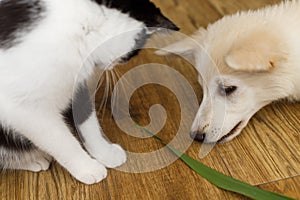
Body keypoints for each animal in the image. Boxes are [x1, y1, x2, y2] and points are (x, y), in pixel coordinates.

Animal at [0, 0, 178, 184]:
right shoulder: (25, 110)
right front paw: (87, 167)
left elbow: (86, 117)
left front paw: (105, 153)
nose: (112, 66)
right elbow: (59, 139)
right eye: (133, 52)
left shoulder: (78, 84)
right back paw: (31, 160)